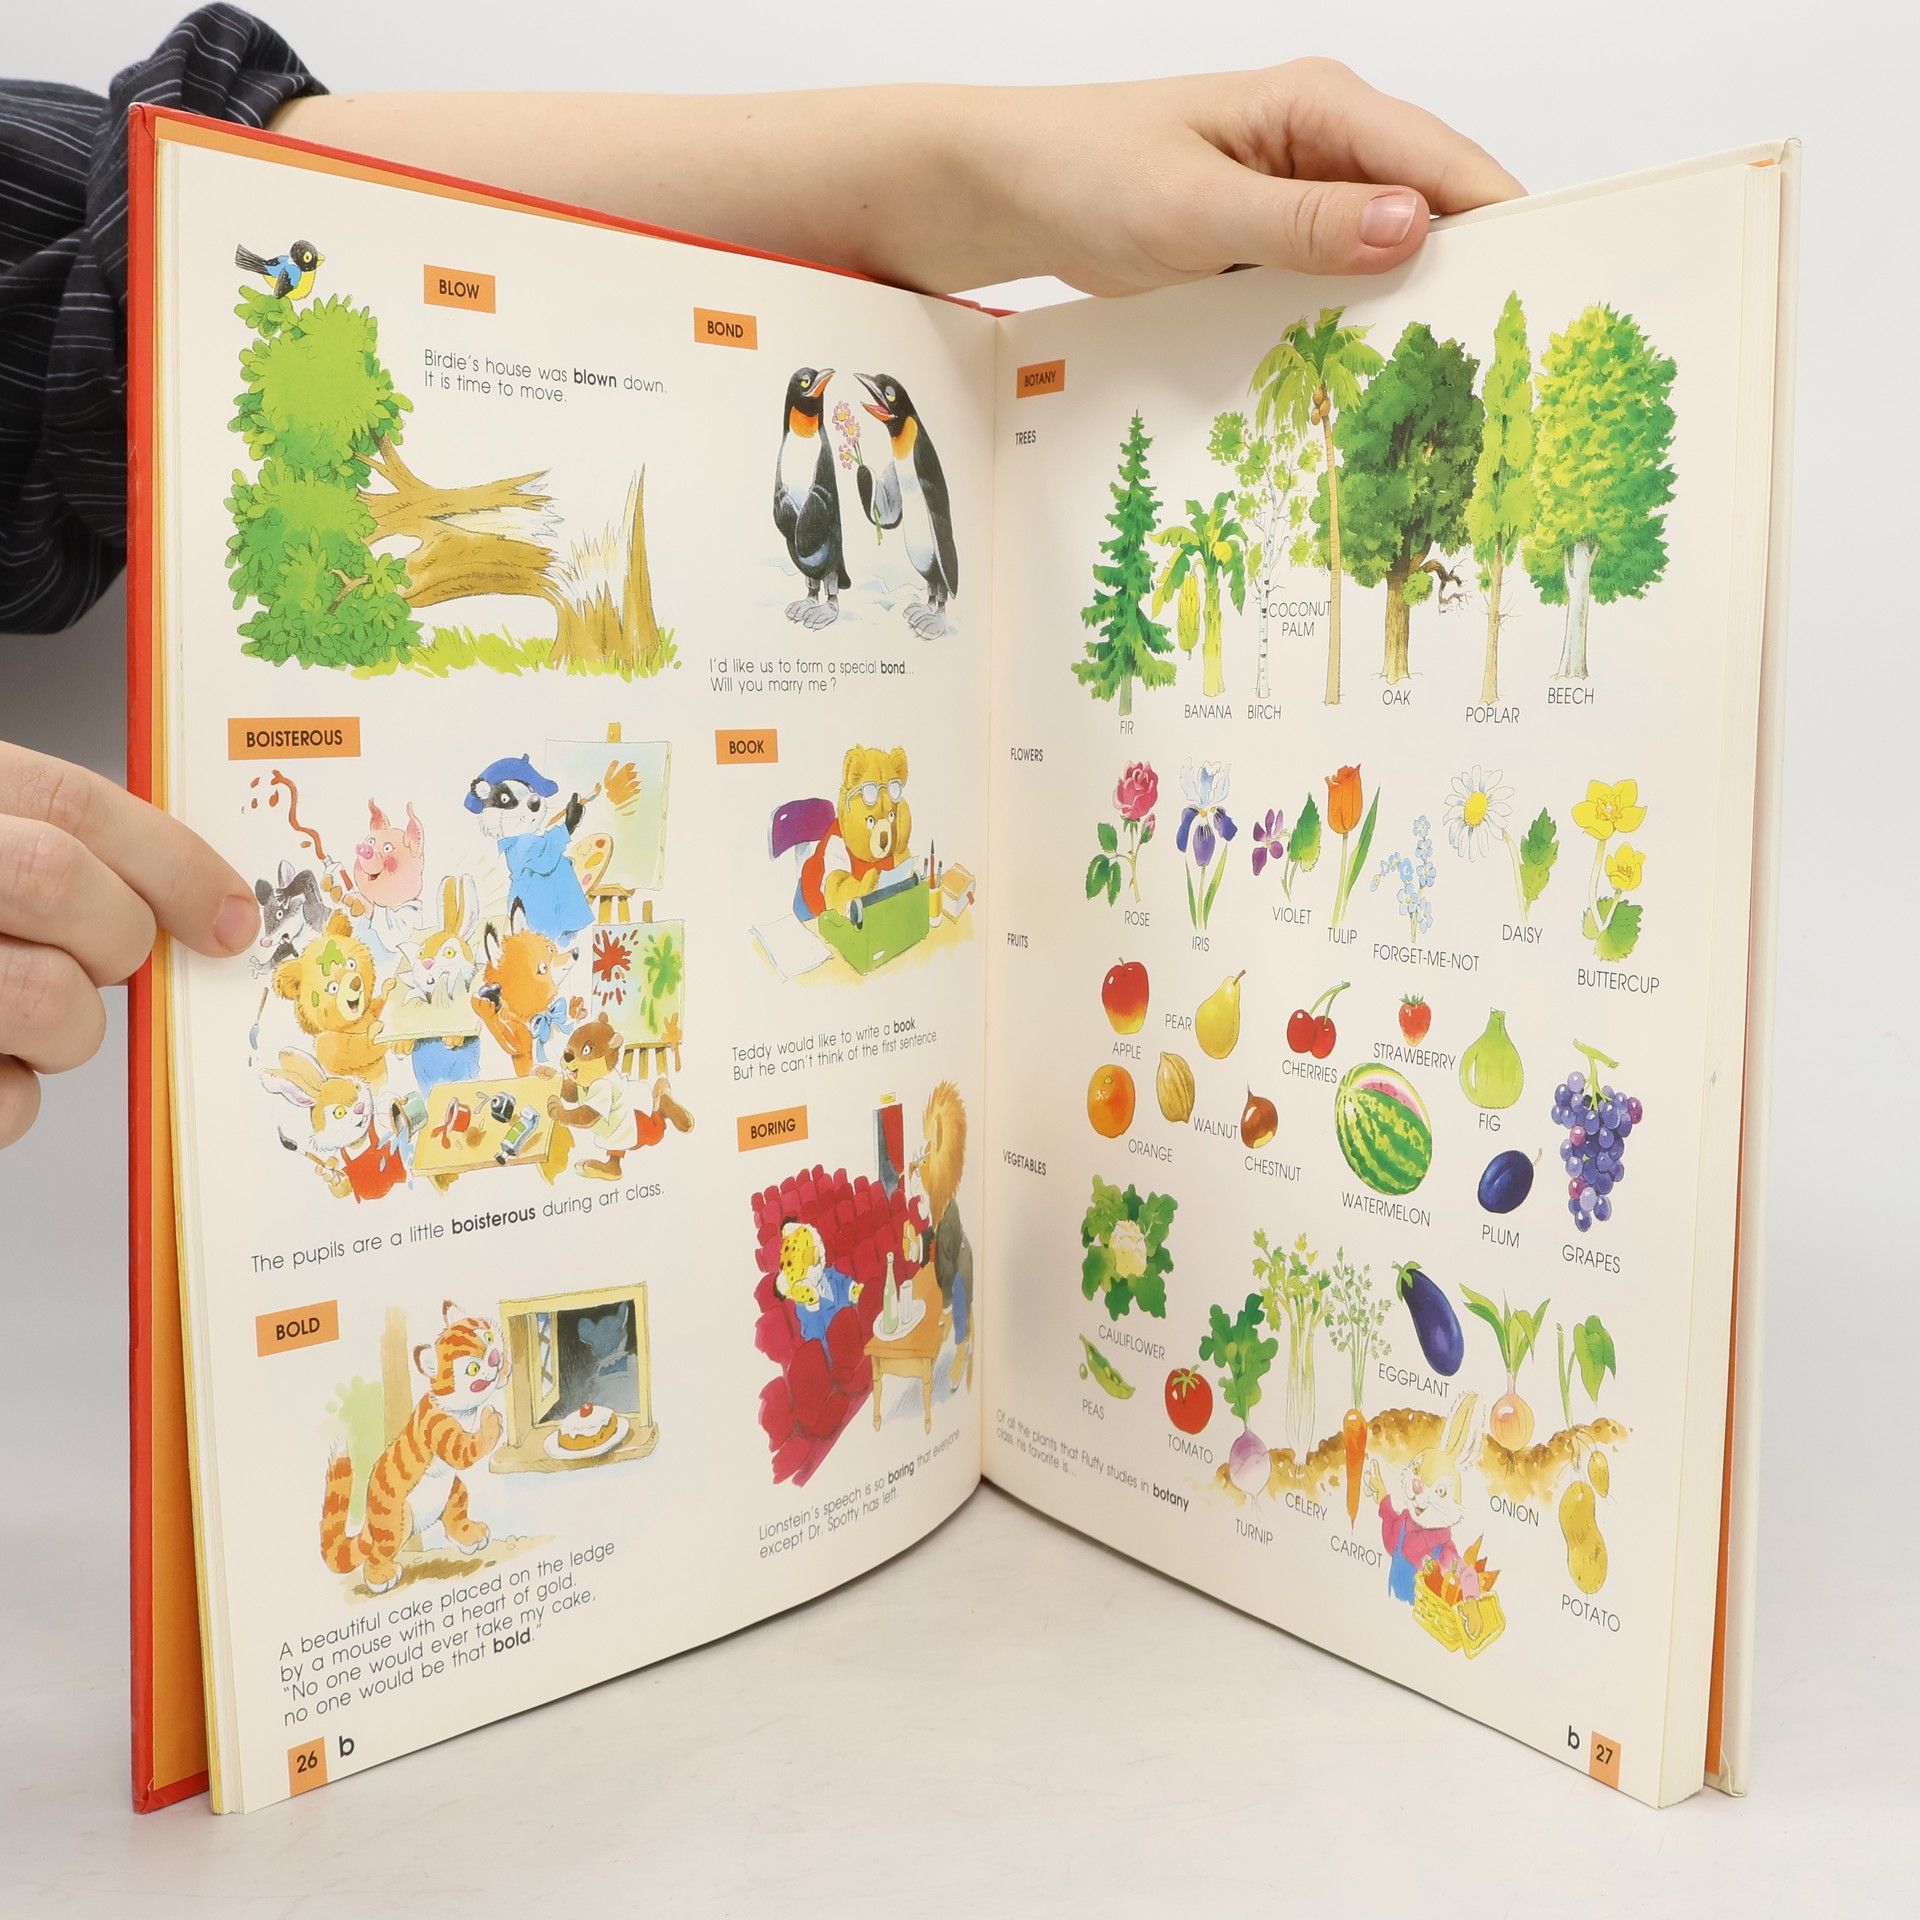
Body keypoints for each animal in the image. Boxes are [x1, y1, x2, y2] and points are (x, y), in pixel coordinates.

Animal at [261, 1048, 404, 1203]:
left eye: (357, 1087)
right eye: (339, 1112)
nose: (359, 1107)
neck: (358, 1143)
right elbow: (344, 1187)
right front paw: (330, 1174)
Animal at [1366, 1393, 1479, 1604]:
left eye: (1441, 1491)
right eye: (1416, 1467)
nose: (1417, 1486)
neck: (1420, 1529)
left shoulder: (1446, 1550)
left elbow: (1459, 1566)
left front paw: (1471, 1599)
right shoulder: (1402, 1522)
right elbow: (1390, 1534)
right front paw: (1377, 1484)